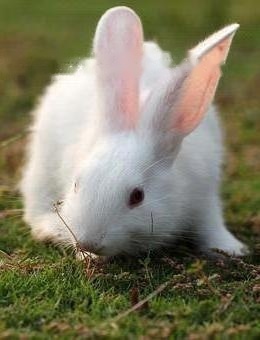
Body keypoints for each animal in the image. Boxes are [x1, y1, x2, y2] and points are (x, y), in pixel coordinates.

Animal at [20, 6, 248, 256]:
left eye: (137, 196)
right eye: (77, 184)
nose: (88, 242)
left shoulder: (205, 194)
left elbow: (211, 224)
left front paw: (232, 249)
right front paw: (86, 255)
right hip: (41, 167)